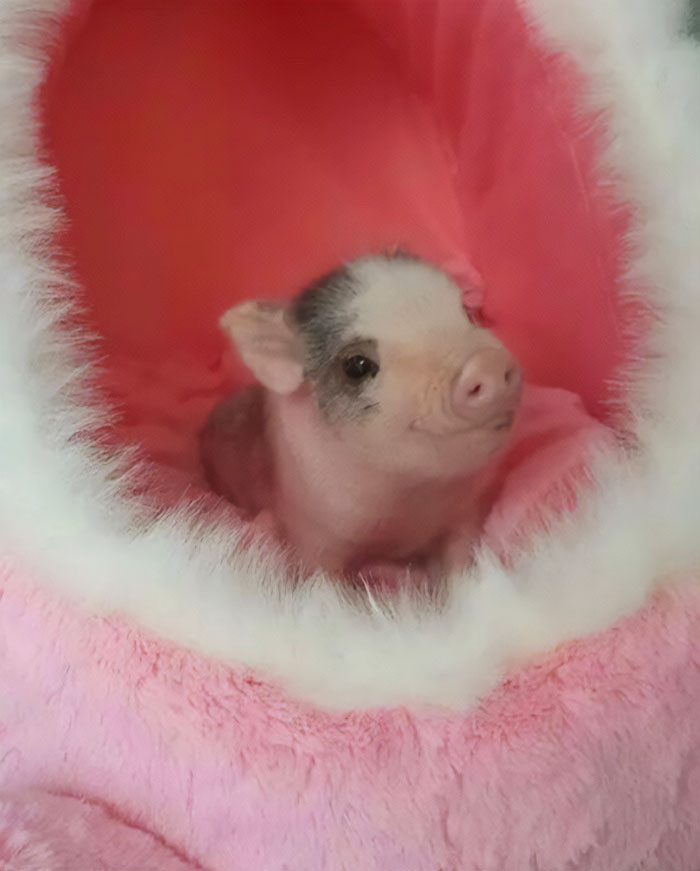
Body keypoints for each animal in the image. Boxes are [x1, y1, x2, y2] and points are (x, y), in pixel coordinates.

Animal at [200, 252, 522, 578]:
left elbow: (461, 563)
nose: (489, 364)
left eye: (467, 313)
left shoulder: (464, 515)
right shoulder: (311, 534)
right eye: (357, 366)